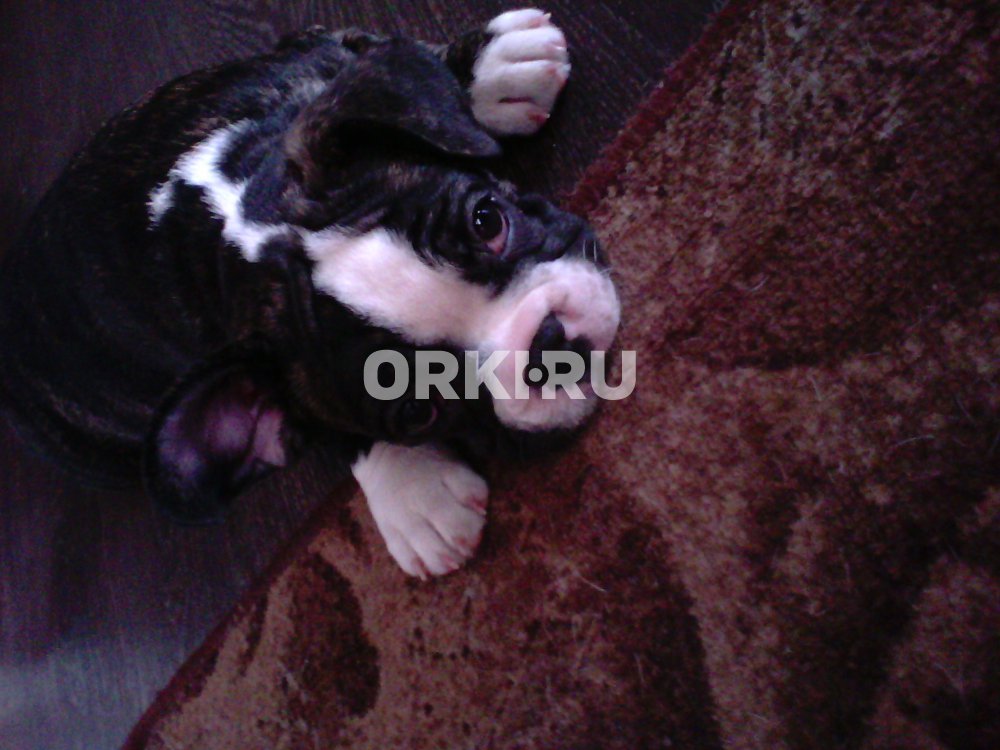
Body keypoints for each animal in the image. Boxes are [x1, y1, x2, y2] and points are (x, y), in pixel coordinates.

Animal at [0, 9, 620, 578]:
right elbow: (330, 432)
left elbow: (380, 67)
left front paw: (492, 68)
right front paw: (413, 495)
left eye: (487, 220)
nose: (546, 344)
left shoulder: (316, 56)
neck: (238, 210)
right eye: (419, 412)